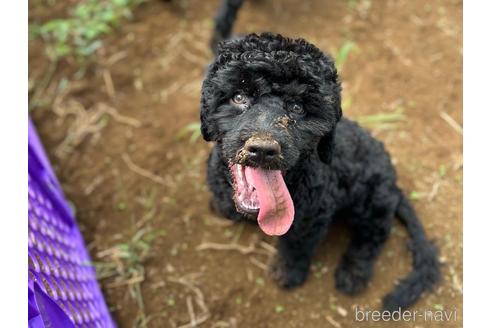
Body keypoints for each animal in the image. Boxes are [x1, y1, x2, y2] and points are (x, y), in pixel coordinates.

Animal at [202, 32, 440, 312]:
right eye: (239, 97)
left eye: (297, 108)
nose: (262, 149)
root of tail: (394, 184)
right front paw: (221, 207)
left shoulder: (311, 218)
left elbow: (297, 245)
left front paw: (288, 273)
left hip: (372, 201)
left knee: (374, 234)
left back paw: (353, 273)